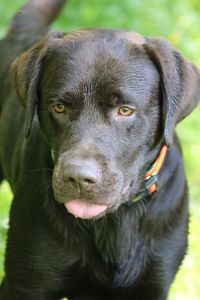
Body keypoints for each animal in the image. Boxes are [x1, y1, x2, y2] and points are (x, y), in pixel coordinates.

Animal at [0, 0, 200, 298]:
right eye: (59, 107)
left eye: (125, 110)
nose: (78, 177)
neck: (113, 222)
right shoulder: (25, 283)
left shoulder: (153, 284)